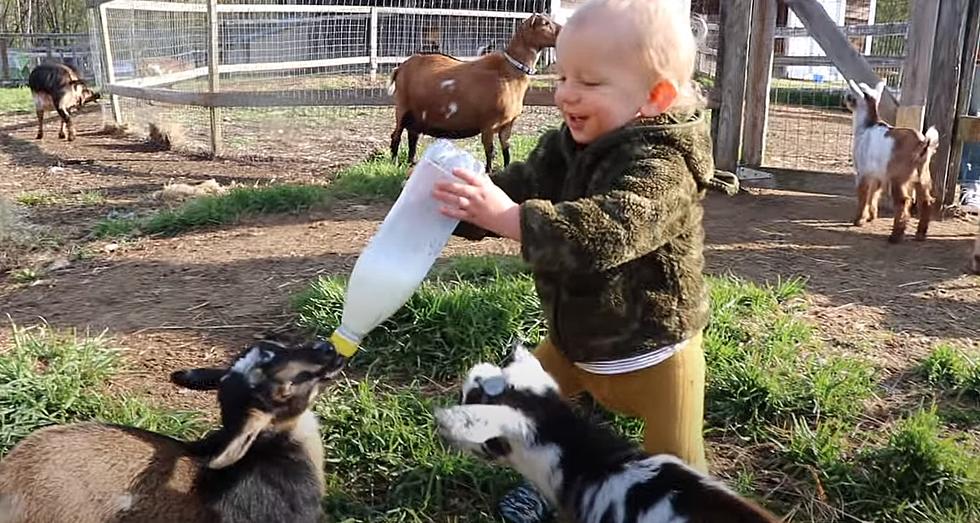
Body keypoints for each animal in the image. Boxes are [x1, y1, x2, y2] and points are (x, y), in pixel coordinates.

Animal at [388, 13, 560, 172]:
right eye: (545, 23)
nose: (562, 30)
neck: (508, 71)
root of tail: (400, 68)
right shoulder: (488, 124)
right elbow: (490, 151)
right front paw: (488, 172)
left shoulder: (507, 123)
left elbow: (506, 150)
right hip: (402, 108)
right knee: (396, 136)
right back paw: (395, 164)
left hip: (415, 116)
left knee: (412, 136)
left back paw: (411, 163)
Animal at [844, 80, 940, 244]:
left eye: (853, 94)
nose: (845, 97)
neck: (866, 126)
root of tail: (923, 144)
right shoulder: (877, 174)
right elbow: (874, 193)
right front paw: (871, 216)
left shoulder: (863, 172)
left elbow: (863, 194)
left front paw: (858, 220)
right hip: (923, 176)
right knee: (926, 201)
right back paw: (920, 234)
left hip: (899, 177)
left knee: (903, 201)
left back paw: (896, 236)